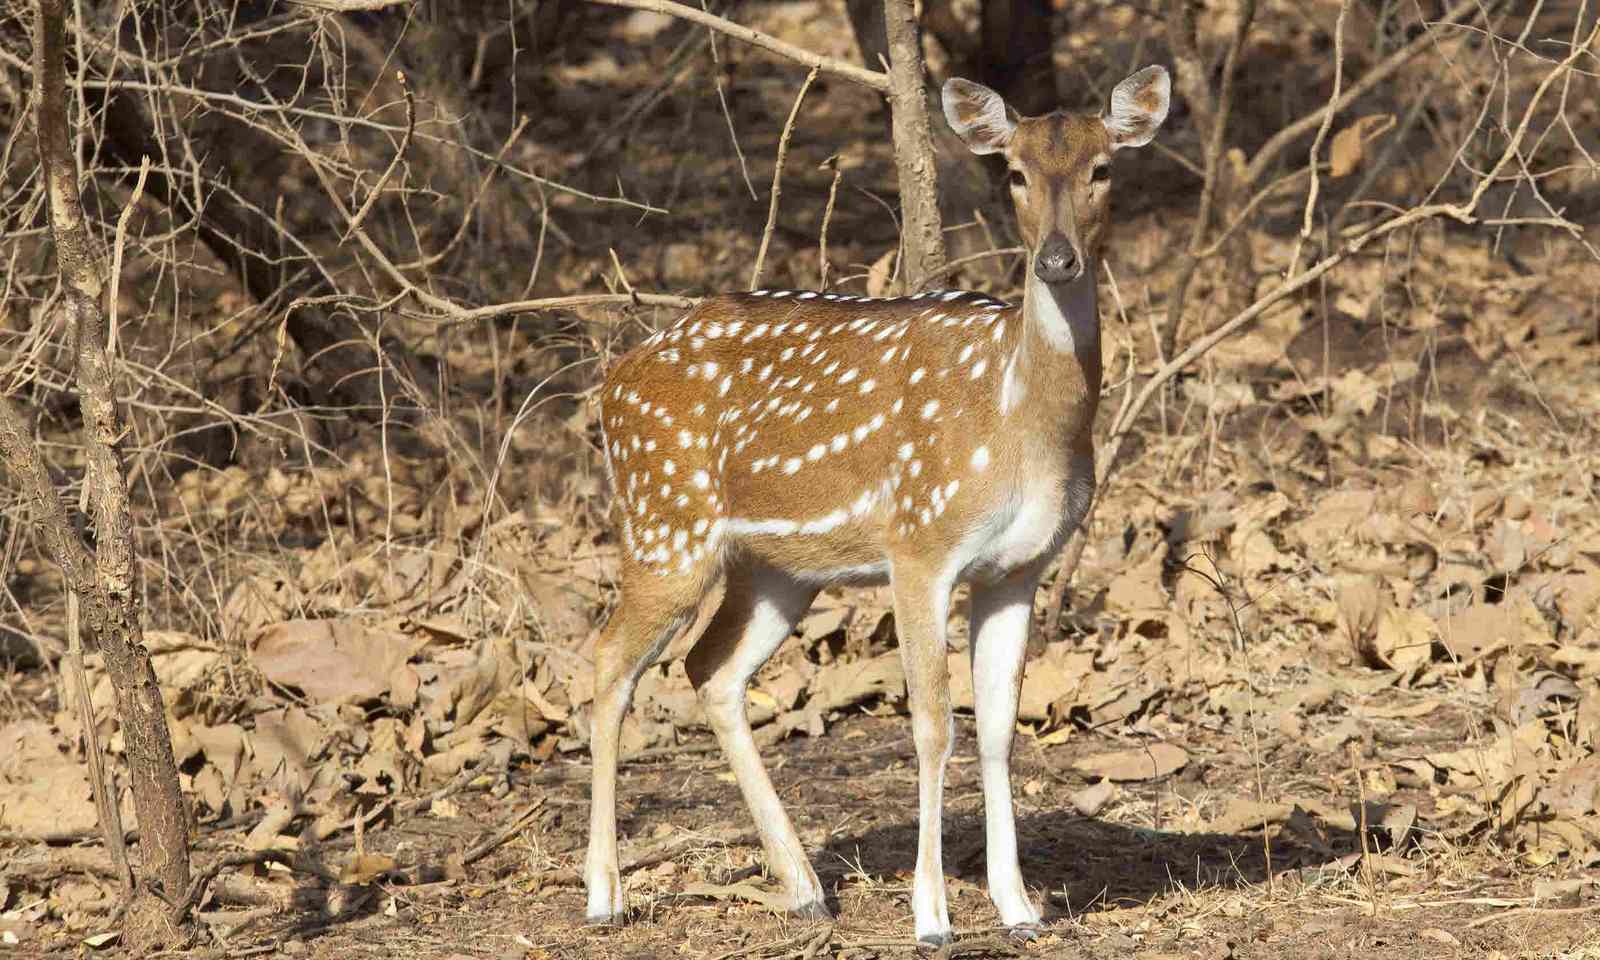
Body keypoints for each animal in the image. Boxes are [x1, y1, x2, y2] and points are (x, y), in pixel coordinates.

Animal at [582, 67, 1171, 947]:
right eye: (1015, 173)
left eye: (1103, 168)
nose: (1057, 259)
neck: (1023, 420)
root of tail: (611, 383)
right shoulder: (920, 543)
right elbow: (932, 724)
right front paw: (932, 917)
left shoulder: (1019, 567)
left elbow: (999, 729)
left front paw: (1018, 908)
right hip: (665, 525)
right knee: (609, 660)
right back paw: (604, 894)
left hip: (779, 569)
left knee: (711, 669)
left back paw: (803, 887)